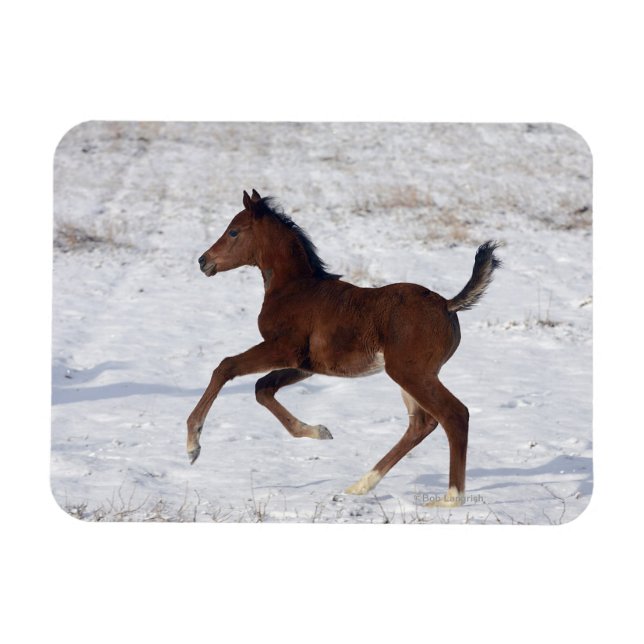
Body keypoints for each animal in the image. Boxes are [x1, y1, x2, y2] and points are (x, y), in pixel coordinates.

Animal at [187, 189, 501, 507]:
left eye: (233, 231)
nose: (203, 261)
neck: (293, 288)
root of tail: (447, 304)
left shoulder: (283, 349)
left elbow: (225, 367)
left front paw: (193, 444)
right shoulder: (305, 365)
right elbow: (262, 388)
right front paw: (320, 432)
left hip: (410, 373)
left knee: (454, 415)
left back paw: (450, 498)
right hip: (411, 375)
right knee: (421, 424)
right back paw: (359, 486)